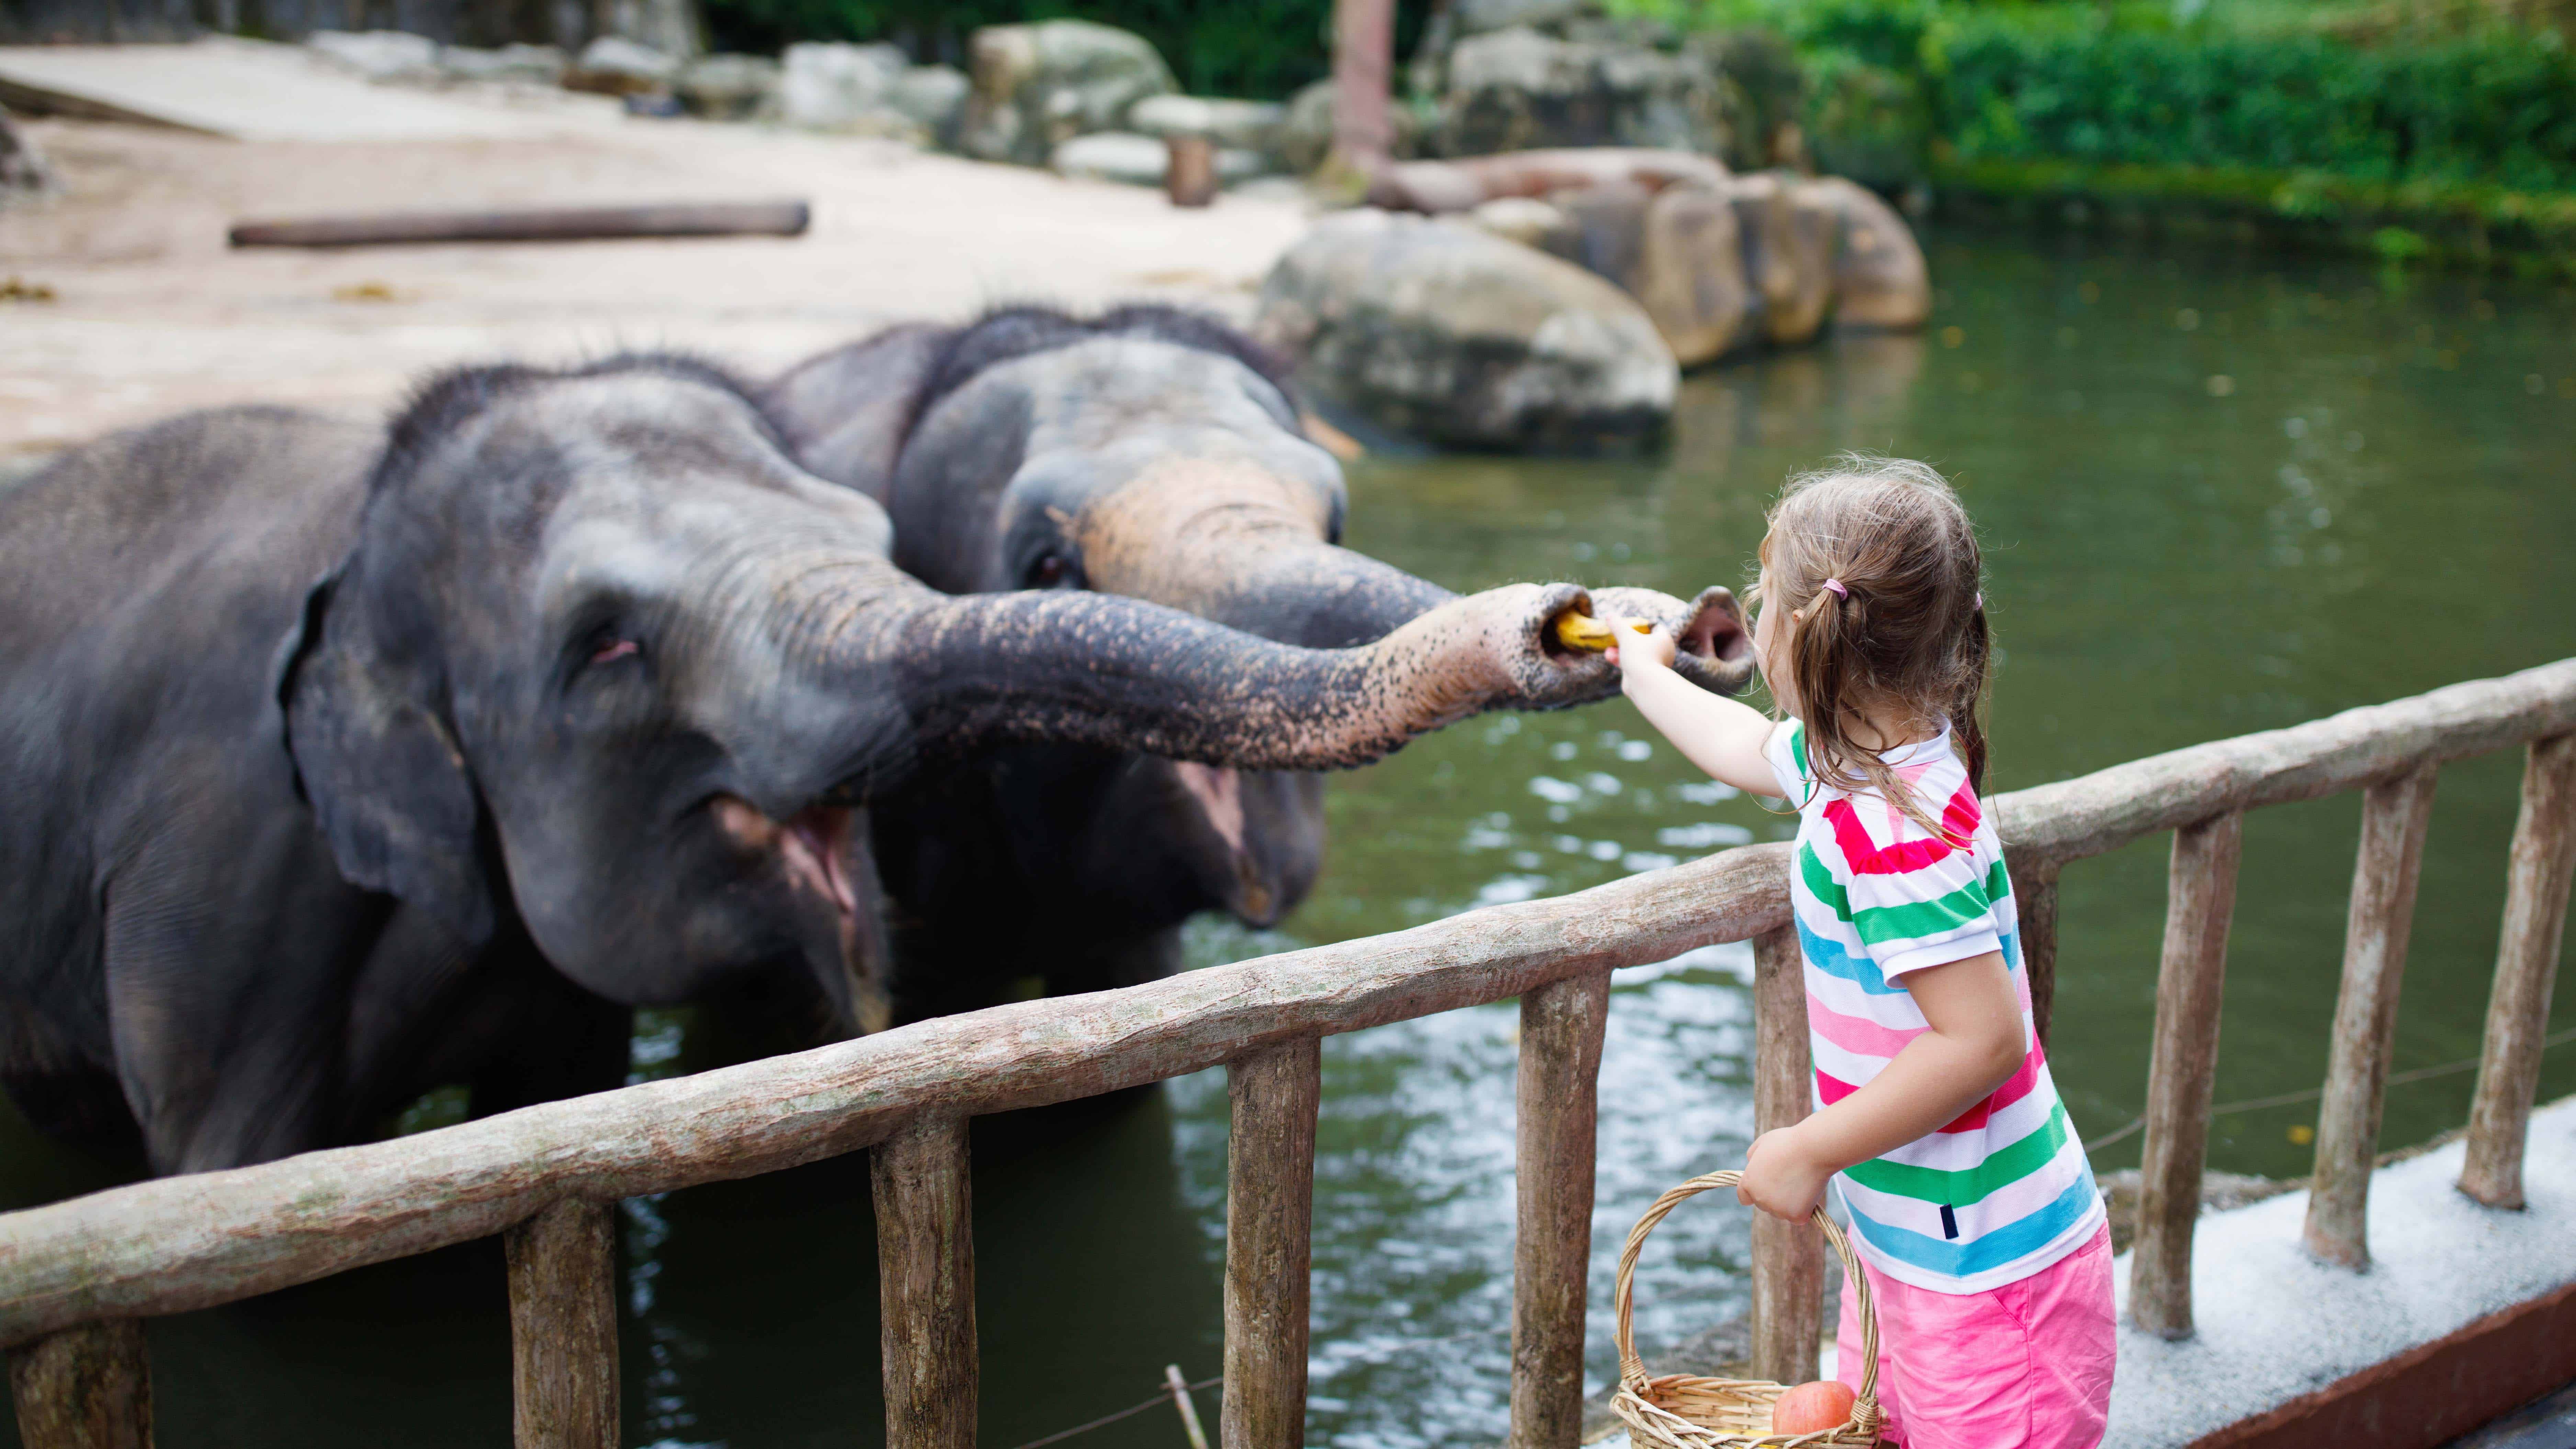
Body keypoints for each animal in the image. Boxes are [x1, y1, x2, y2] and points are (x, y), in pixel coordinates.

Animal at [5, 350, 1710, 1176]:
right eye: (606, 647)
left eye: (864, 529)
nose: (1586, 622)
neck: (366, 531)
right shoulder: (224, 862)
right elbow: (234, 1172)